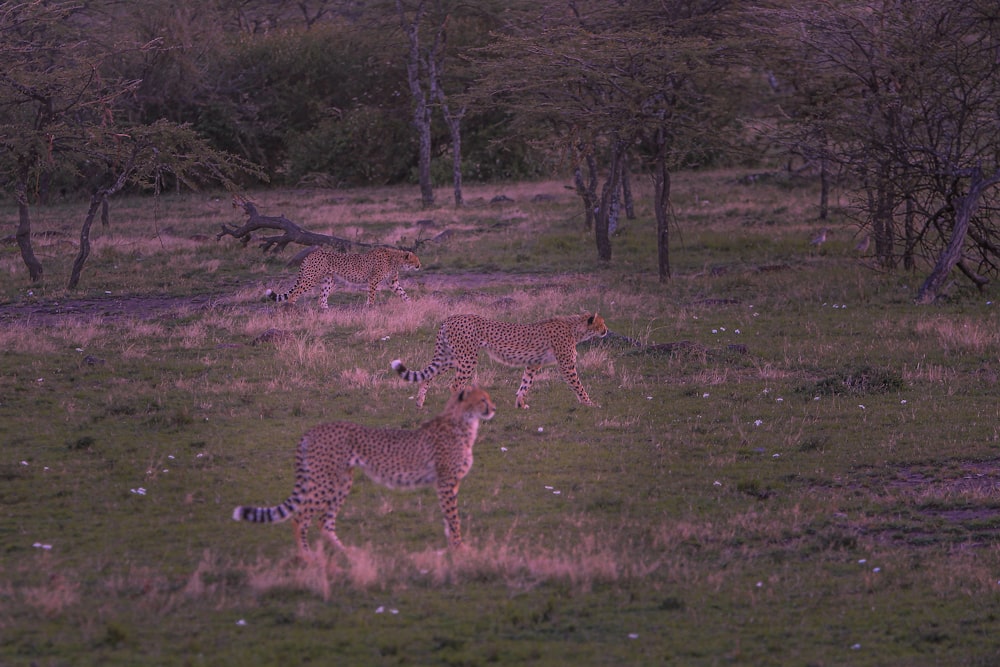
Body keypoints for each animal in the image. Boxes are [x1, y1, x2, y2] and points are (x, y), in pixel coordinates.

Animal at [235, 386, 500, 552]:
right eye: (482, 399)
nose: (494, 408)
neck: (463, 422)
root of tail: (314, 429)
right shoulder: (446, 481)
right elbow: (454, 518)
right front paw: (460, 549)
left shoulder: (445, 484)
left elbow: (448, 518)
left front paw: (453, 548)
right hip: (325, 480)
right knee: (300, 518)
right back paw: (309, 559)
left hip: (343, 480)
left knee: (324, 521)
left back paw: (348, 554)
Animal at [264, 245, 420, 308]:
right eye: (415, 261)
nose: (419, 265)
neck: (395, 259)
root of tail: (311, 254)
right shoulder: (373, 280)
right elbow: (372, 295)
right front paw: (370, 306)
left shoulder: (392, 282)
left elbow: (402, 293)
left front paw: (411, 303)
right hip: (311, 278)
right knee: (294, 293)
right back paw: (291, 309)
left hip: (328, 280)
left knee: (321, 298)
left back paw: (326, 311)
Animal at [390, 312, 608, 410]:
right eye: (602, 323)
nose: (606, 330)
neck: (575, 327)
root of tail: (451, 317)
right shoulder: (566, 365)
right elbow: (578, 385)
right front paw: (590, 403)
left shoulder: (533, 363)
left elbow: (525, 384)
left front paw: (520, 404)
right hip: (467, 358)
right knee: (454, 385)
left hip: (451, 357)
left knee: (428, 375)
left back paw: (419, 402)